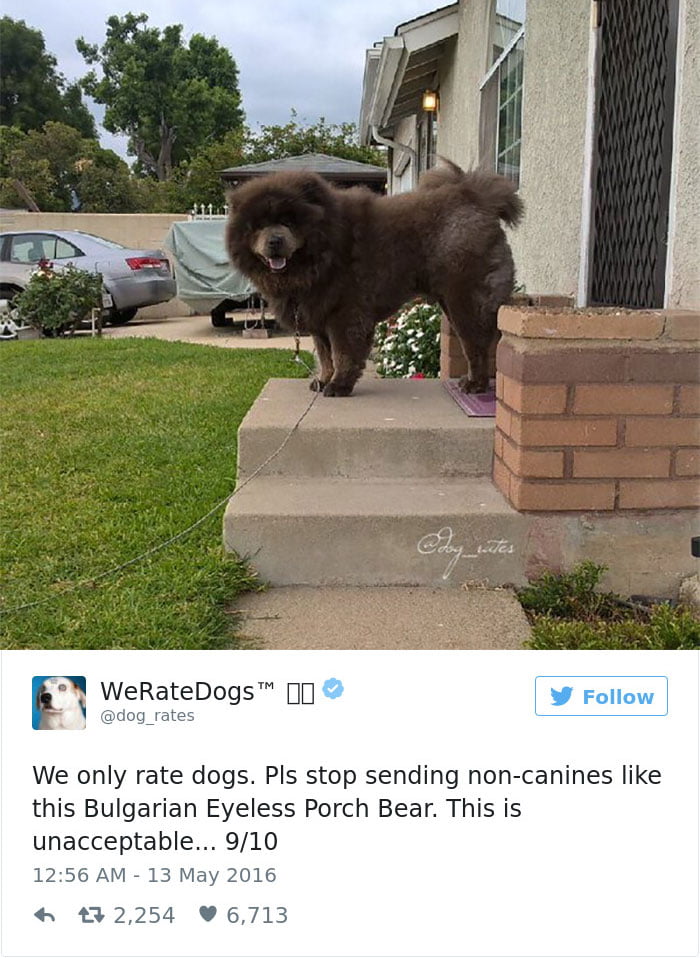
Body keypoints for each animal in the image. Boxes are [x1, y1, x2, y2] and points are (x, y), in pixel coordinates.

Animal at [227, 161, 524, 398]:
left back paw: (475, 384)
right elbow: (324, 356)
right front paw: (322, 381)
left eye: (289, 222)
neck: (323, 252)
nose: (275, 240)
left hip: (465, 300)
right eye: (258, 226)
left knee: (477, 346)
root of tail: (475, 198)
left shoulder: (344, 314)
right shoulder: (318, 317)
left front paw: (338, 386)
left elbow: (342, 354)